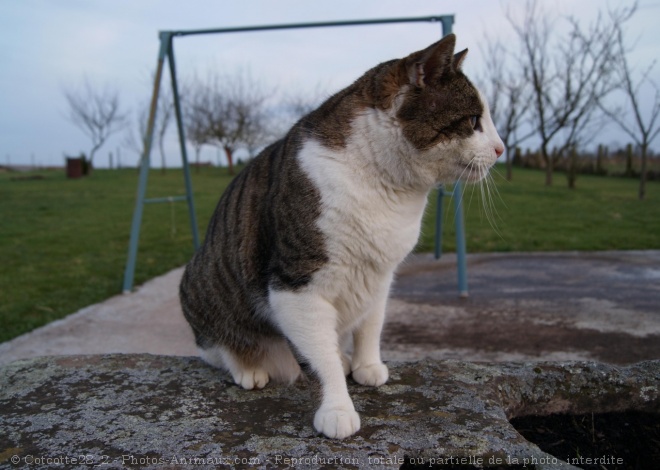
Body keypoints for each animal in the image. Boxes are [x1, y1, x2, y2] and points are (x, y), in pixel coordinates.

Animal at [178, 34, 502, 440]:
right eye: (474, 121)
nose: (501, 149)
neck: (386, 186)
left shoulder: (379, 275)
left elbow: (370, 326)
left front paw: (366, 365)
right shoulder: (297, 288)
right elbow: (320, 361)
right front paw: (337, 408)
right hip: (199, 283)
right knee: (217, 349)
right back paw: (248, 368)